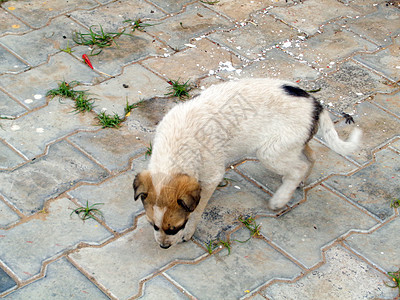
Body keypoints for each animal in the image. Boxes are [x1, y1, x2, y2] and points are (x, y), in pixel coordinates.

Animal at [133, 78, 360, 248]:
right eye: (153, 225)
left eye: (175, 227)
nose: (163, 246)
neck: (175, 150)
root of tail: (316, 104)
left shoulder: (212, 174)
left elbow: (198, 208)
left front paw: (189, 231)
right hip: (293, 144)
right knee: (311, 157)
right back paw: (301, 182)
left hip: (270, 152)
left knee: (298, 167)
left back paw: (280, 198)